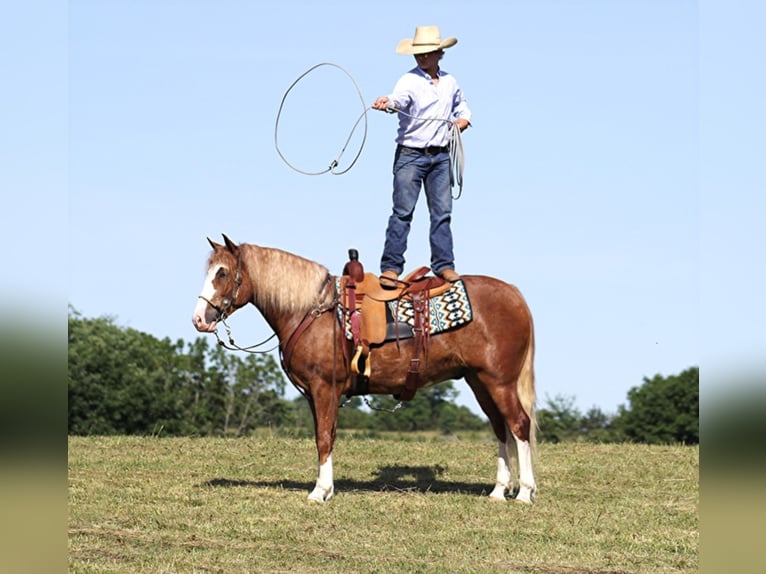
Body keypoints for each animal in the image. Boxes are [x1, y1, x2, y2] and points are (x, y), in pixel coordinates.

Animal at [192, 236, 540, 506]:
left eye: (223, 273)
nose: (199, 319)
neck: (313, 310)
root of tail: (515, 294)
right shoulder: (318, 394)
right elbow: (327, 436)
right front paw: (327, 488)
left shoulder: (323, 388)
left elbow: (323, 438)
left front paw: (319, 492)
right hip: (479, 382)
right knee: (501, 428)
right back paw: (498, 491)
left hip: (499, 381)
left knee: (519, 425)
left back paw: (524, 492)